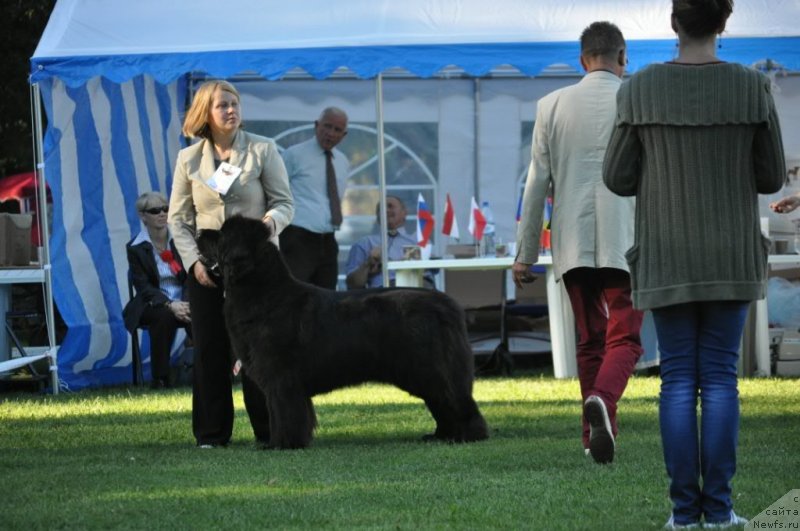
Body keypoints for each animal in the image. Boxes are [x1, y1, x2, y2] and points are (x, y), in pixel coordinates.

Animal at [200, 216, 488, 448]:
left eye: (221, 234)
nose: (200, 231)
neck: (264, 292)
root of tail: (447, 304)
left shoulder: (281, 378)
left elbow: (283, 412)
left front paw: (281, 444)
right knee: (441, 402)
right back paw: (442, 435)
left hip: (428, 369)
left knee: (454, 399)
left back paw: (468, 435)